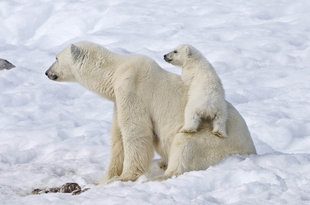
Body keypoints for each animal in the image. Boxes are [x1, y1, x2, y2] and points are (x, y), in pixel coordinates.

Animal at [44, 41, 256, 183]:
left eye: (56, 58)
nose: (47, 72)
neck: (115, 71)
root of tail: (251, 150)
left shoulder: (132, 90)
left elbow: (135, 132)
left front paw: (124, 177)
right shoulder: (118, 100)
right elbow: (118, 136)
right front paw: (105, 178)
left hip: (211, 140)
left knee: (184, 145)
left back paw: (160, 174)